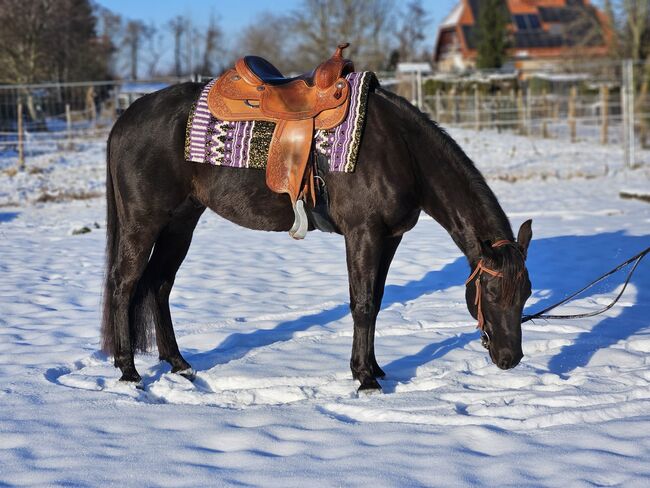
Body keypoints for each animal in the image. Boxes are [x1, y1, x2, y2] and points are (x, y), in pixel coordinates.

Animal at [101, 82, 532, 390]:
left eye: (526, 293)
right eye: (492, 292)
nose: (511, 358)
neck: (401, 150)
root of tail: (126, 119)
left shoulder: (389, 237)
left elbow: (376, 302)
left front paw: (376, 368)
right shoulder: (363, 233)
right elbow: (362, 304)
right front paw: (364, 378)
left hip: (181, 222)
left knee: (159, 284)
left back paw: (178, 364)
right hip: (144, 222)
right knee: (124, 284)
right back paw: (129, 371)